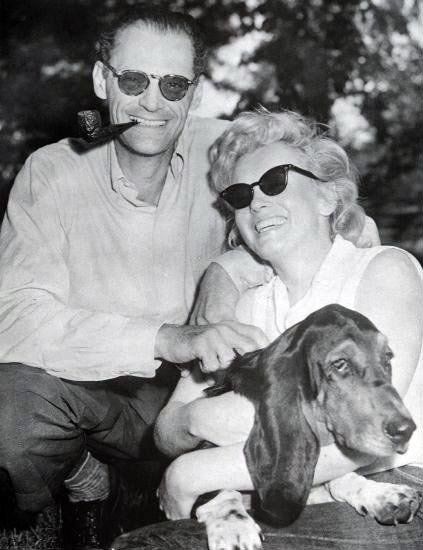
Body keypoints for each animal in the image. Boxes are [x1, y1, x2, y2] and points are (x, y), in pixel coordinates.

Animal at [196, 304, 420, 550]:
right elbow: (219, 487)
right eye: (340, 364)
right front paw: (231, 524)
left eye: (388, 357)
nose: (406, 430)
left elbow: (342, 477)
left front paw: (381, 494)